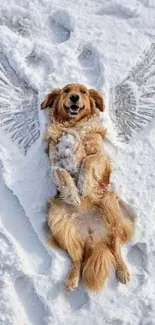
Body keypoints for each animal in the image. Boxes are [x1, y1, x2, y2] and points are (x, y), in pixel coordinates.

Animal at [41, 83, 134, 292]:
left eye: (83, 92)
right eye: (66, 91)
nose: (74, 97)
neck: (72, 125)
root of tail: (93, 236)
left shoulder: (101, 157)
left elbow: (88, 160)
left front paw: (83, 187)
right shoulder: (54, 164)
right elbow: (62, 173)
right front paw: (74, 196)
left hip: (111, 208)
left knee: (116, 251)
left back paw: (123, 271)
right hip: (59, 225)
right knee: (77, 259)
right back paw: (71, 280)